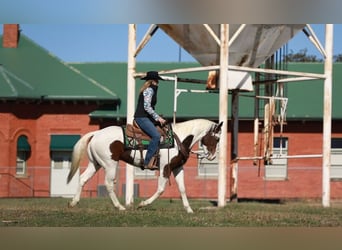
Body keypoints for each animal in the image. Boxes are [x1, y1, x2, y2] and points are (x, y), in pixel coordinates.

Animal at [67, 118, 222, 213]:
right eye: (216, 138)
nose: (212, 156)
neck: (179, 140)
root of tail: (96, 133)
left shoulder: (177, 168)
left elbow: (183, 189)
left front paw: (189, 209)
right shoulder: (165, 168)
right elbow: (160, 189)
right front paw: (143, 204)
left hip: (95, 164)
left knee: (82, 179)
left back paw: (73, 202)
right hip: (110, 164)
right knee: (109, 184)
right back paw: (120, 207)